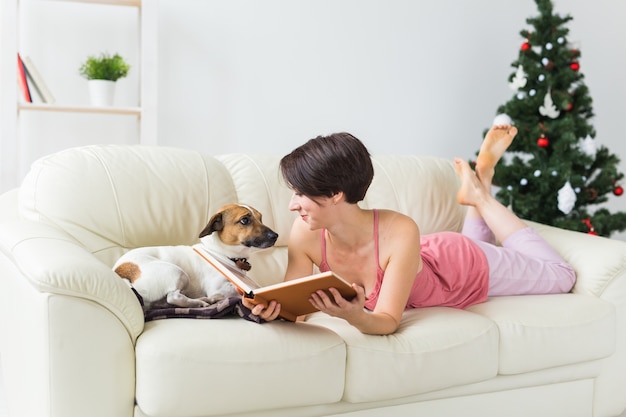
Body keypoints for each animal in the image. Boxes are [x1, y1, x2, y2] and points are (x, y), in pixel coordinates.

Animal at [112, 203, 278, 310]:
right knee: (174, 297)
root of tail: (120, 271)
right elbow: (234, 292)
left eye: (260, 218)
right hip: (178, 272)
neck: (221, 253)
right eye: (245, 220)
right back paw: (200, 303)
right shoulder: (217, 287)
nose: (275, 236)